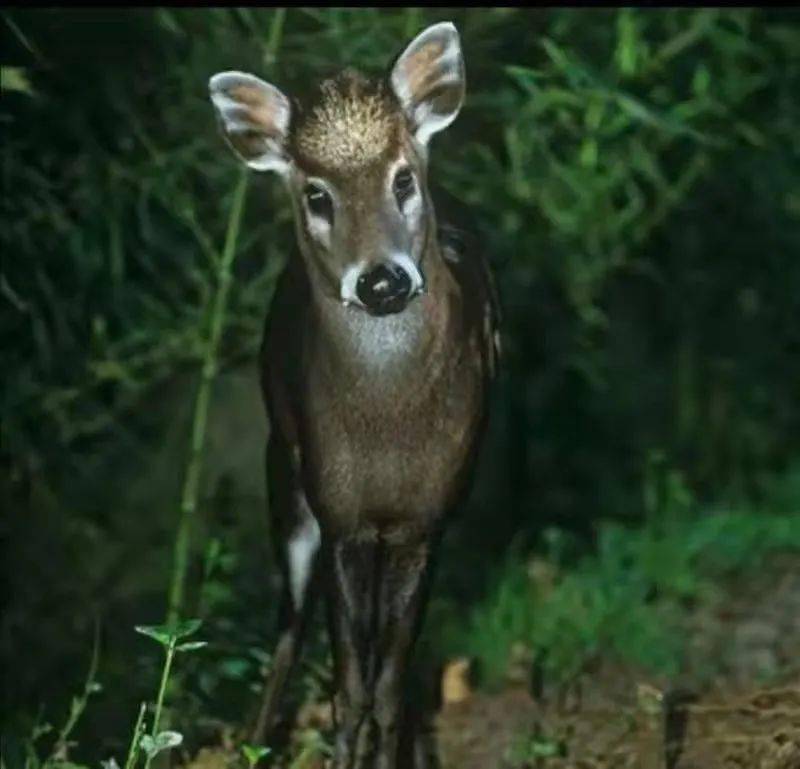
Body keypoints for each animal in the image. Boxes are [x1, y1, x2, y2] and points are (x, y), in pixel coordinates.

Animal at [212, 21, 500, 764]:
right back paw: (255, 740)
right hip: (284, 477)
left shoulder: (427, 516)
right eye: (317, 195)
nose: (382, 280)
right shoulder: (339, 510)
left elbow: (390, 685)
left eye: (403, 177)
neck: (387, 431)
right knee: (288, 626)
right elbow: (348, 688)